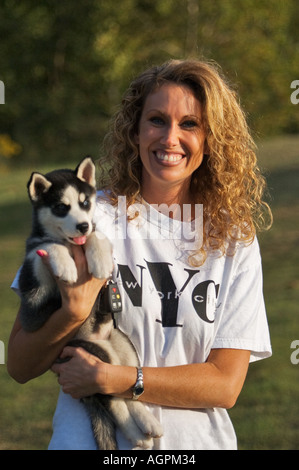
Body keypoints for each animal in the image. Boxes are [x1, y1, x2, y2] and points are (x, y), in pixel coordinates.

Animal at [18, 157, 164, 448]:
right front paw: (65, 265)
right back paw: (137, 434)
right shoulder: (33, 307)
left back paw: (147, 424)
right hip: (90, 354)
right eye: (61, 207)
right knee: (113, 401)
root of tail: (100, 341)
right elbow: (45, 249)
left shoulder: (94, 233)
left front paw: (99, 260)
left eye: (85, 203)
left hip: (122, 346)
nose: (83, 226)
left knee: (124, 387)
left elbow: (99, 237)